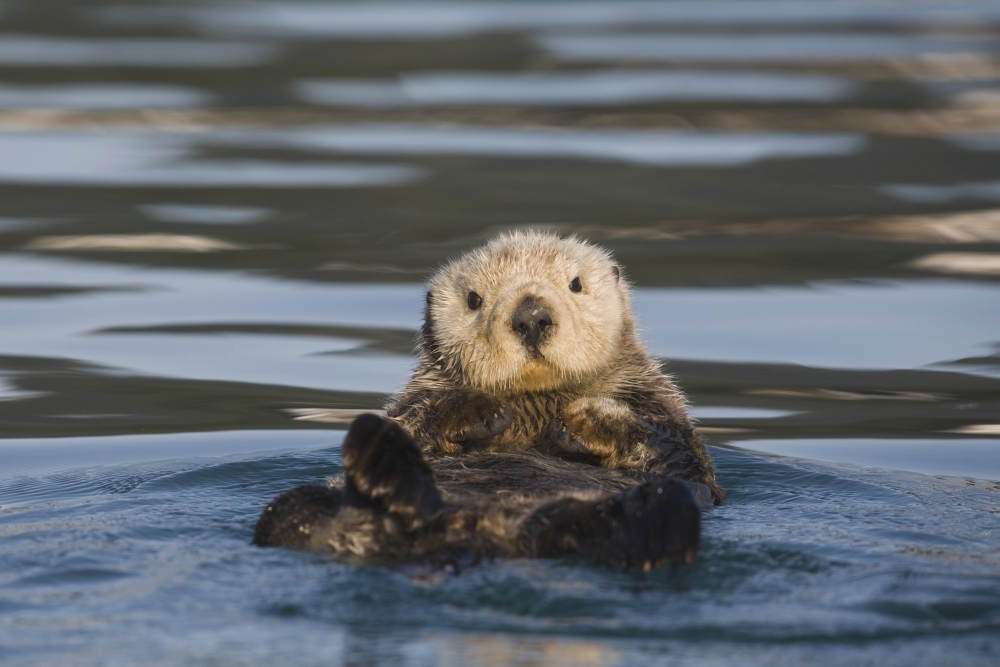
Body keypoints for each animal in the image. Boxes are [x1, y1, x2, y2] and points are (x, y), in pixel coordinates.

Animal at [254, 232, 721, 570]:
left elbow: (673, 451)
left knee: (658, 512)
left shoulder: (663, 414)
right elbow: (416, 418)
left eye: (576, 284)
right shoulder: (414, 402)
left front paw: (582, 420)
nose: (531, 316)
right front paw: (478, 409)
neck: (536, 408)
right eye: (474, 299)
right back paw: (385, 460)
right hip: (294, 508)